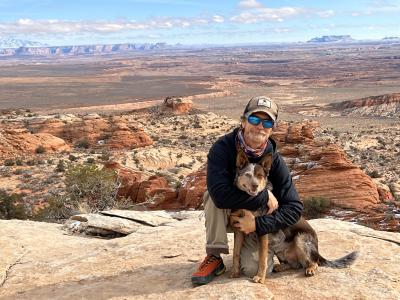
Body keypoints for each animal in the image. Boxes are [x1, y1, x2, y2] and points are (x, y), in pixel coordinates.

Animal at [231, 150, 360, 284]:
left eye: (260, 175)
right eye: (247, 174)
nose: (255, 186)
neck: (248, 202)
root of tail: (318, 251)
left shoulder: (262, 231)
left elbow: (262, 258)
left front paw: (260, 277)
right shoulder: (238, 229)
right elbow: (236, 252)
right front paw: (234, 272)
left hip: (301, 238)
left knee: (314, 262)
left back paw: (310, 269)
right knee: (294, 264)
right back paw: (281, 266)